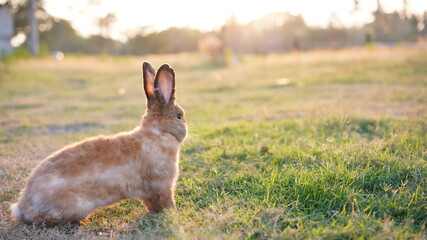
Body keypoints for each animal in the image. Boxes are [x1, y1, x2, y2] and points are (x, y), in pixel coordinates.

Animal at [9, 62, 187, 225]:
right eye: (179, 116)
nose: (186, 130)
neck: (159, 131)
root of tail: (22, 208)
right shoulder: (161, 185)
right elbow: (165, 202)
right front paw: (173, 213)